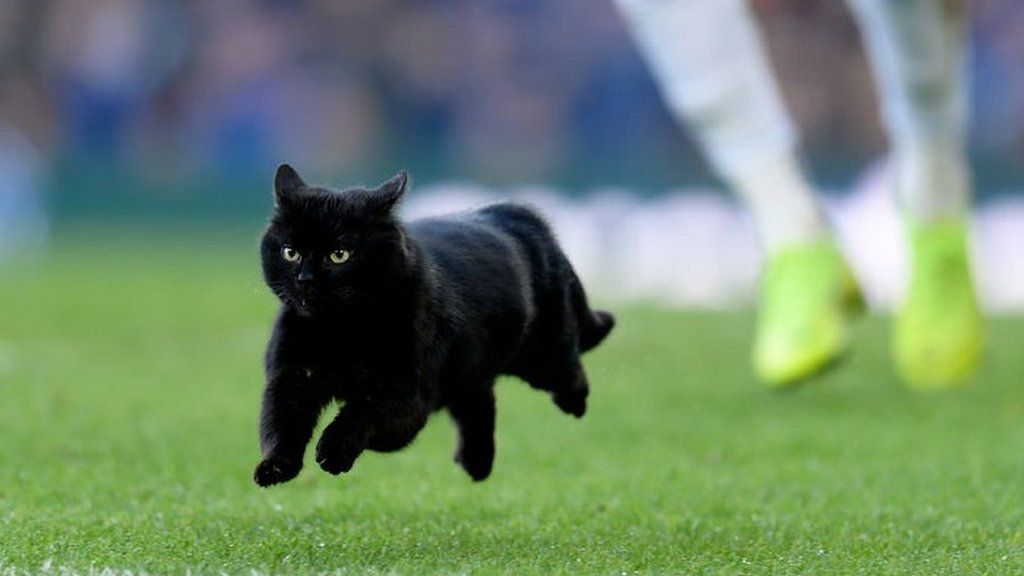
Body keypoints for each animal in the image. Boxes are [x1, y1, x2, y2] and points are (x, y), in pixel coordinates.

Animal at [253, 166, 614, 483]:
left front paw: (333, 451)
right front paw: (275, 467)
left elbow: (361, 410)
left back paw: (575, 404)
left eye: (339, 254)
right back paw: (476, 464)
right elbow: (281, 423)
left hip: (543, 355)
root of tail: (520, 212)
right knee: (480, 404)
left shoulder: (405, 393)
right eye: (290, 252)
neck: (340, 331)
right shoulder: (292, 378)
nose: (305, 280)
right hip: (473, 369)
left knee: (570, 370)